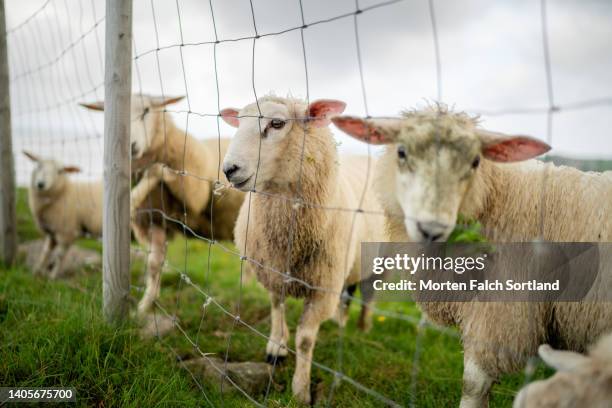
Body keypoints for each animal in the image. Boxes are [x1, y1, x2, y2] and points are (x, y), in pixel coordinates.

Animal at [80, 95, 245, 316]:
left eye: (147, 110)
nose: (131, 145)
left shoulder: (194, 194)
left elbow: (157, 170)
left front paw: (133, 197)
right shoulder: (155, 220)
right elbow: (153, 264)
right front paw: (144, 306)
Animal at [220, 95, 388, 404]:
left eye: (277, 123)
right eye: (239, 122)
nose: (229, 170)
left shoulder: (323, 287)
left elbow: (306, 339)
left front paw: (300, 389)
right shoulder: (272, 269)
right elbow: (277, 306)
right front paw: (276, 348)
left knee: (369, 295)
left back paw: (363, 327)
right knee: (349, 294)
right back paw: (342, 321)